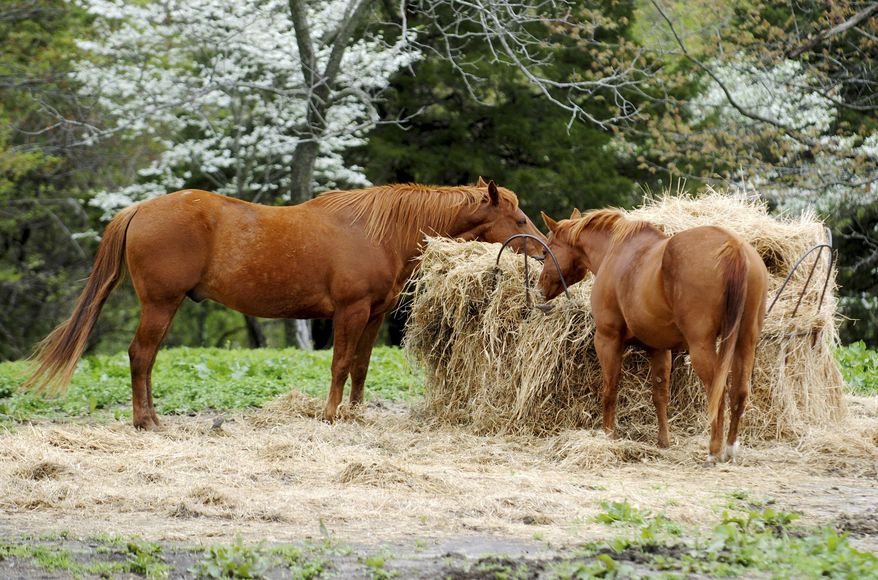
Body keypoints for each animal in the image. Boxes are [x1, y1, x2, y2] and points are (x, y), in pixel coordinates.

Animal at [25, 179, 543, 429]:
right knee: (141, 356)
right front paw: (331, 416)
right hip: (160, 304)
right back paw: (145, 421)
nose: (540, 251)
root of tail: (139, 209)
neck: (376, 231)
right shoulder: (350, 312)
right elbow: (340, 364)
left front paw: (355, 414)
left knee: (144, 358)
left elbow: (361, 367)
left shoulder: (373, 315)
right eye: (518, 217)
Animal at [538, 208, 768, 465]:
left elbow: (610, 389)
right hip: (746, 342)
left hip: (702, 347)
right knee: (739, 392)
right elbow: (659, 396)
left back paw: (713, 451)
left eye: (546, 250)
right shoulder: (659, 349)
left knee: (717, 392)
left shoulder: (607, 340)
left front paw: (607, 435)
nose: (539, 288)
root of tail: (733, 246)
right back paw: (729, 449)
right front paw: (663, 442)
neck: (615, 251)